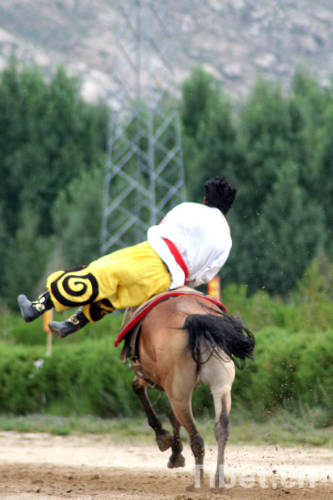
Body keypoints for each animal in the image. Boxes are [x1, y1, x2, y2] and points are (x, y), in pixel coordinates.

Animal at [124, 292, 254, 490]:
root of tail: (194, 319)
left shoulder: (150, 377)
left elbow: (139, 389)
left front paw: (165, 441)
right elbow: (173, 417)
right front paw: (175, 453)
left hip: (179, 394)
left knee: (196, 437)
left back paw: (197, 483)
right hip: (221, 386)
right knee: (221, 427)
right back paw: (218, 481)